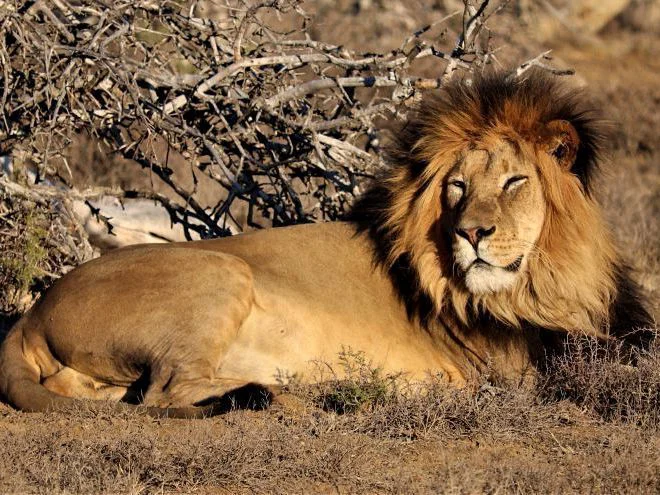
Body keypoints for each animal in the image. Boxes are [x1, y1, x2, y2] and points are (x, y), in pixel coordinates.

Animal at [0, 71, 653, 417]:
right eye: (458, 188)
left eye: (515, 182)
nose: (472, 233)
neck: (544, 278)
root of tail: (31, 314)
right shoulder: (520, 364)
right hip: (221, 274)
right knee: (162, 394)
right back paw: (298, 394)